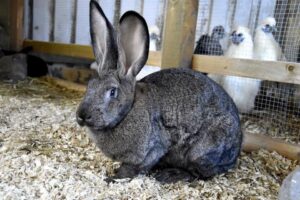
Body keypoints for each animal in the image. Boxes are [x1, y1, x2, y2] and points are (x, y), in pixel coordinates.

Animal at [76, 0, 243, 184]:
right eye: (89, 85)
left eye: (112, 92)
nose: (82, 115)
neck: (128, 111)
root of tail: (235, 152)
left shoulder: (151, 150)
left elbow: (130, 169)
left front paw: (113, 178)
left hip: (201, 151)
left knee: (200, 173)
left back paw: (170, 175)